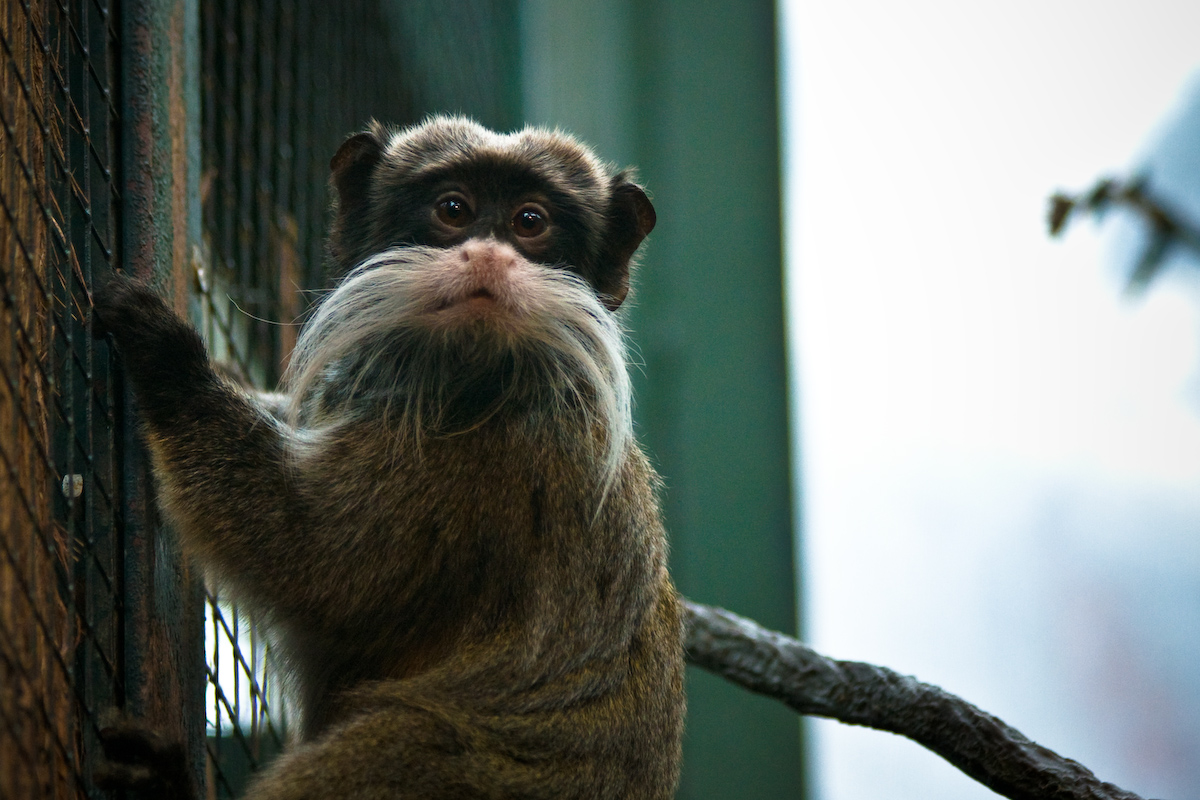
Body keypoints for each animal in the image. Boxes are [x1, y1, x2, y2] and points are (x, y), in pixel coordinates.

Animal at [93, 116, 685, 799]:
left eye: (530, 221)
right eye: (453, 209)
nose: (489, 255)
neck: (468, 377)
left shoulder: (482, 454)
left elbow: (313, 562)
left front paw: (168, 359)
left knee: (408, 738)